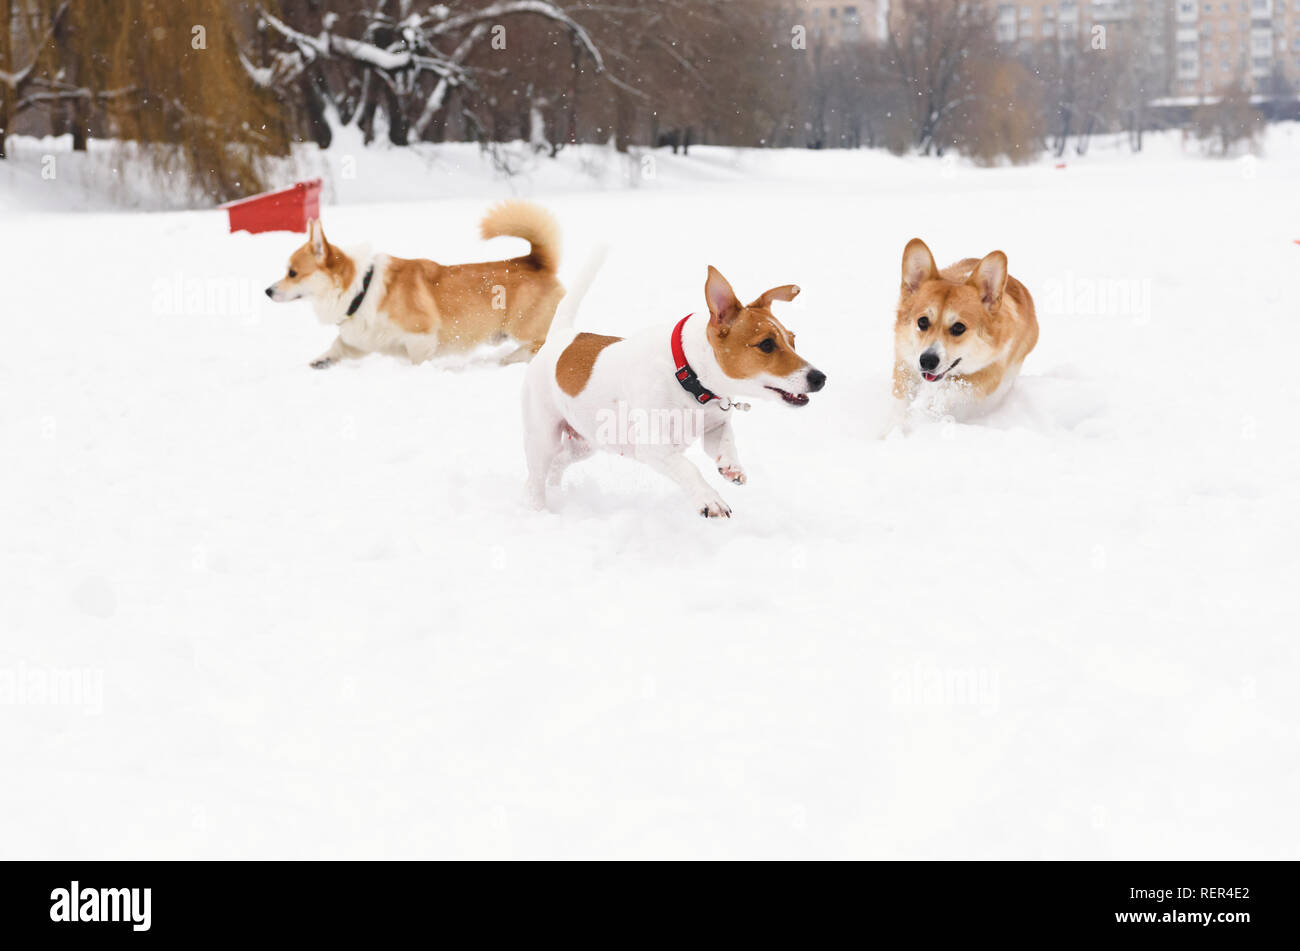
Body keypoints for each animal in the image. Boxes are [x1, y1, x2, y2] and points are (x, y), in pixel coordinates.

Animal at [265, 200, 564, 368]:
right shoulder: (360, 341)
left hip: (522, 326)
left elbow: (416, 361)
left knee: (543, 343)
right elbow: (337, 348)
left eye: (292, 272)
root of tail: (536, 261)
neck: (361, 290)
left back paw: (511, 359)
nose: (267, 291)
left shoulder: (421, 337)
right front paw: (319, 362)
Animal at [517, 267, 821, 517]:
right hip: (543, 435)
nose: (821, 378)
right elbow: (688, 467)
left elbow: (724, 442)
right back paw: (539, 510)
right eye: (767, 344)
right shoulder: (654, 446)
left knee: (558, 463)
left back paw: (556, 491)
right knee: (536, 477)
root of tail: (562, 335)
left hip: (587, 442)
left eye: (793, 340)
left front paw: (731, 466)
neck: (688, 375)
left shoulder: (715, 425)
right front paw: (710, 499)